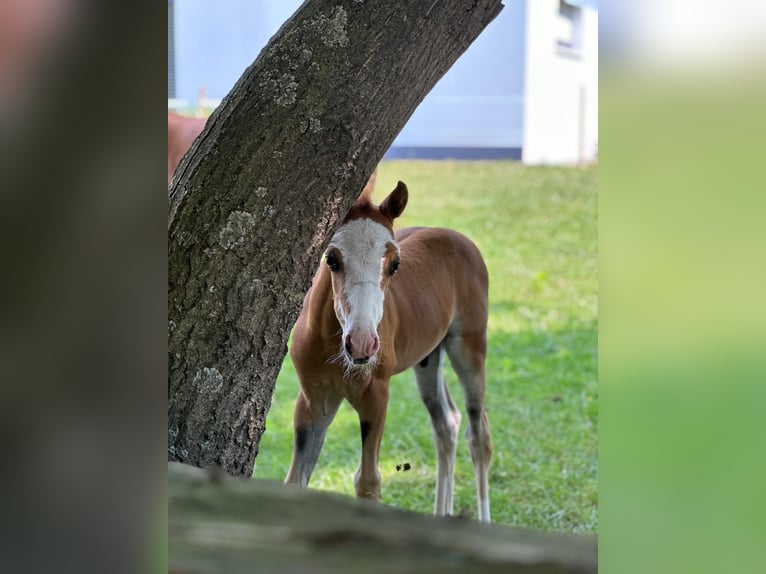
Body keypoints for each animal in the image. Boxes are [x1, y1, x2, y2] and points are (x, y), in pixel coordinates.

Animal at [284, 183, 496, 520]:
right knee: (446, 423)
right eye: (331, 259)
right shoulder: (314, 400)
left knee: (479, 436)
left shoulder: (376, 395)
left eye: (395, 264)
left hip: (469, 349)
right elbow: (295, 479)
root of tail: (457, 237)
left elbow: (368, 482)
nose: (362, 343)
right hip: (427, 360)